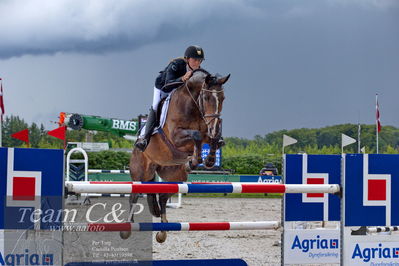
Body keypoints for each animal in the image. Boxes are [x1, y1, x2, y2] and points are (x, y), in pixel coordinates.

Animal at [120, 69, 230, 242]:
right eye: (206, 97)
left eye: (223, 98)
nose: (214, 126)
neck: (193, 105)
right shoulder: (176, 137)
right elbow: (197, 136)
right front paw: (195, 159)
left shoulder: (207, 135)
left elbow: (212, 140)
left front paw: (207, 160)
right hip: (140, 172)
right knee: (134, 196)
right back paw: (127, 228)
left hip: (175, 176)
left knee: (163, 197)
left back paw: (162, 232)